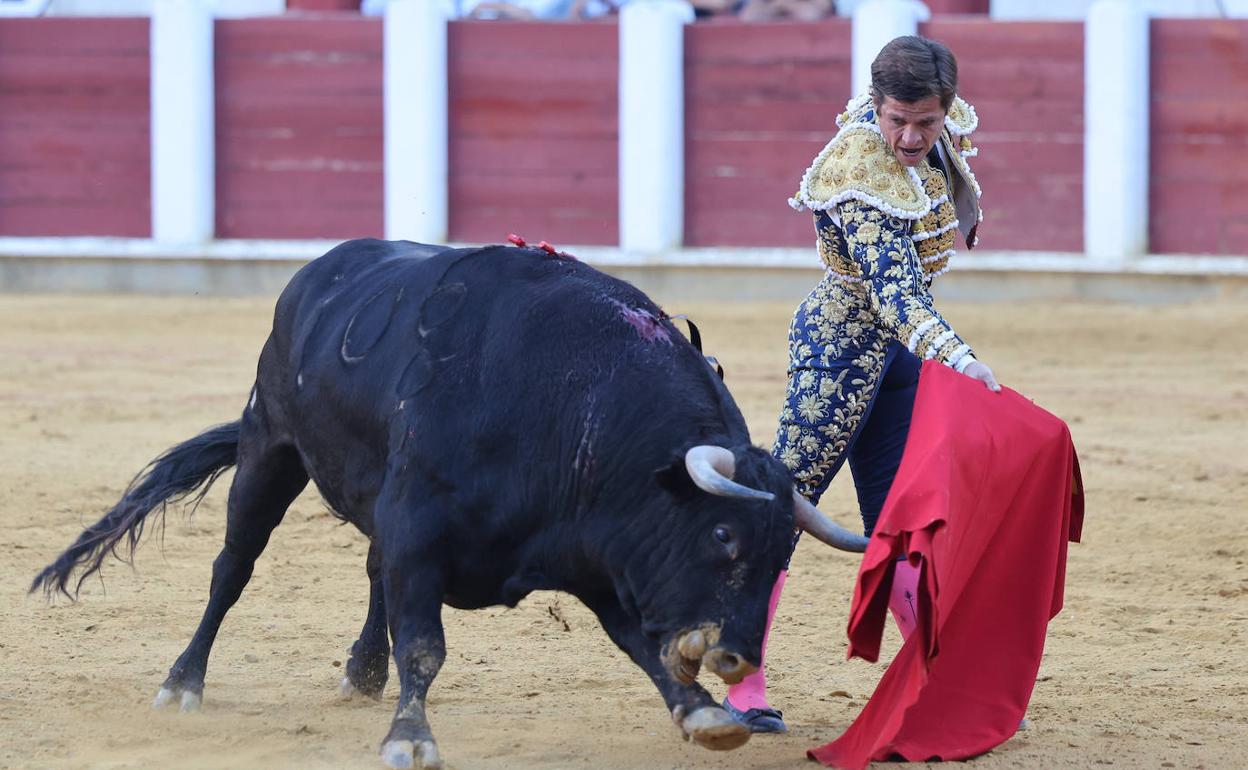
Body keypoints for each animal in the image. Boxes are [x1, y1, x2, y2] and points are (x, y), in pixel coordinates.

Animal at [31, 239, 868, 768]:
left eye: (781, 555)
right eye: (723, 535)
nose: (737, 654)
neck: (575, 409)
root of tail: (318, 271)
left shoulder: (593, 553)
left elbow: (636, 643)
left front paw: (703, 714)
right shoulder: (422, 531)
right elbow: (425, 646)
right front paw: (410, 739)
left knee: (370, 573)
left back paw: (362, 673)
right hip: (269, 448)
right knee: (232, 568)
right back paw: (183, 683)